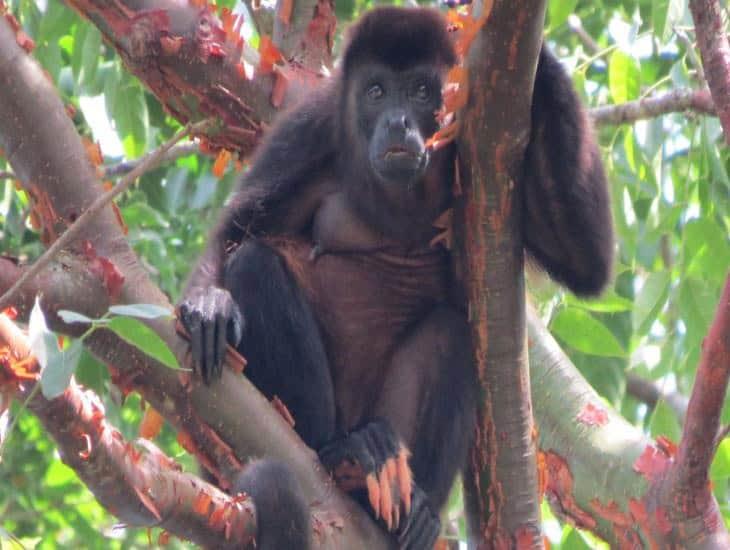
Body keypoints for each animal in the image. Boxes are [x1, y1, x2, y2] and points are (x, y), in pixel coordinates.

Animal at [179, 5, 612, 550]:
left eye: (422, 91)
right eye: (376, 91)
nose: (399, 121)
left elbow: (584, 258)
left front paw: (536, 57)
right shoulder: (309, 130)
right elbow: (236, 232)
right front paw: (207, 305)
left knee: (449, 333)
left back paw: (407, 508)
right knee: (254, 265)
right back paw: (337, 452)